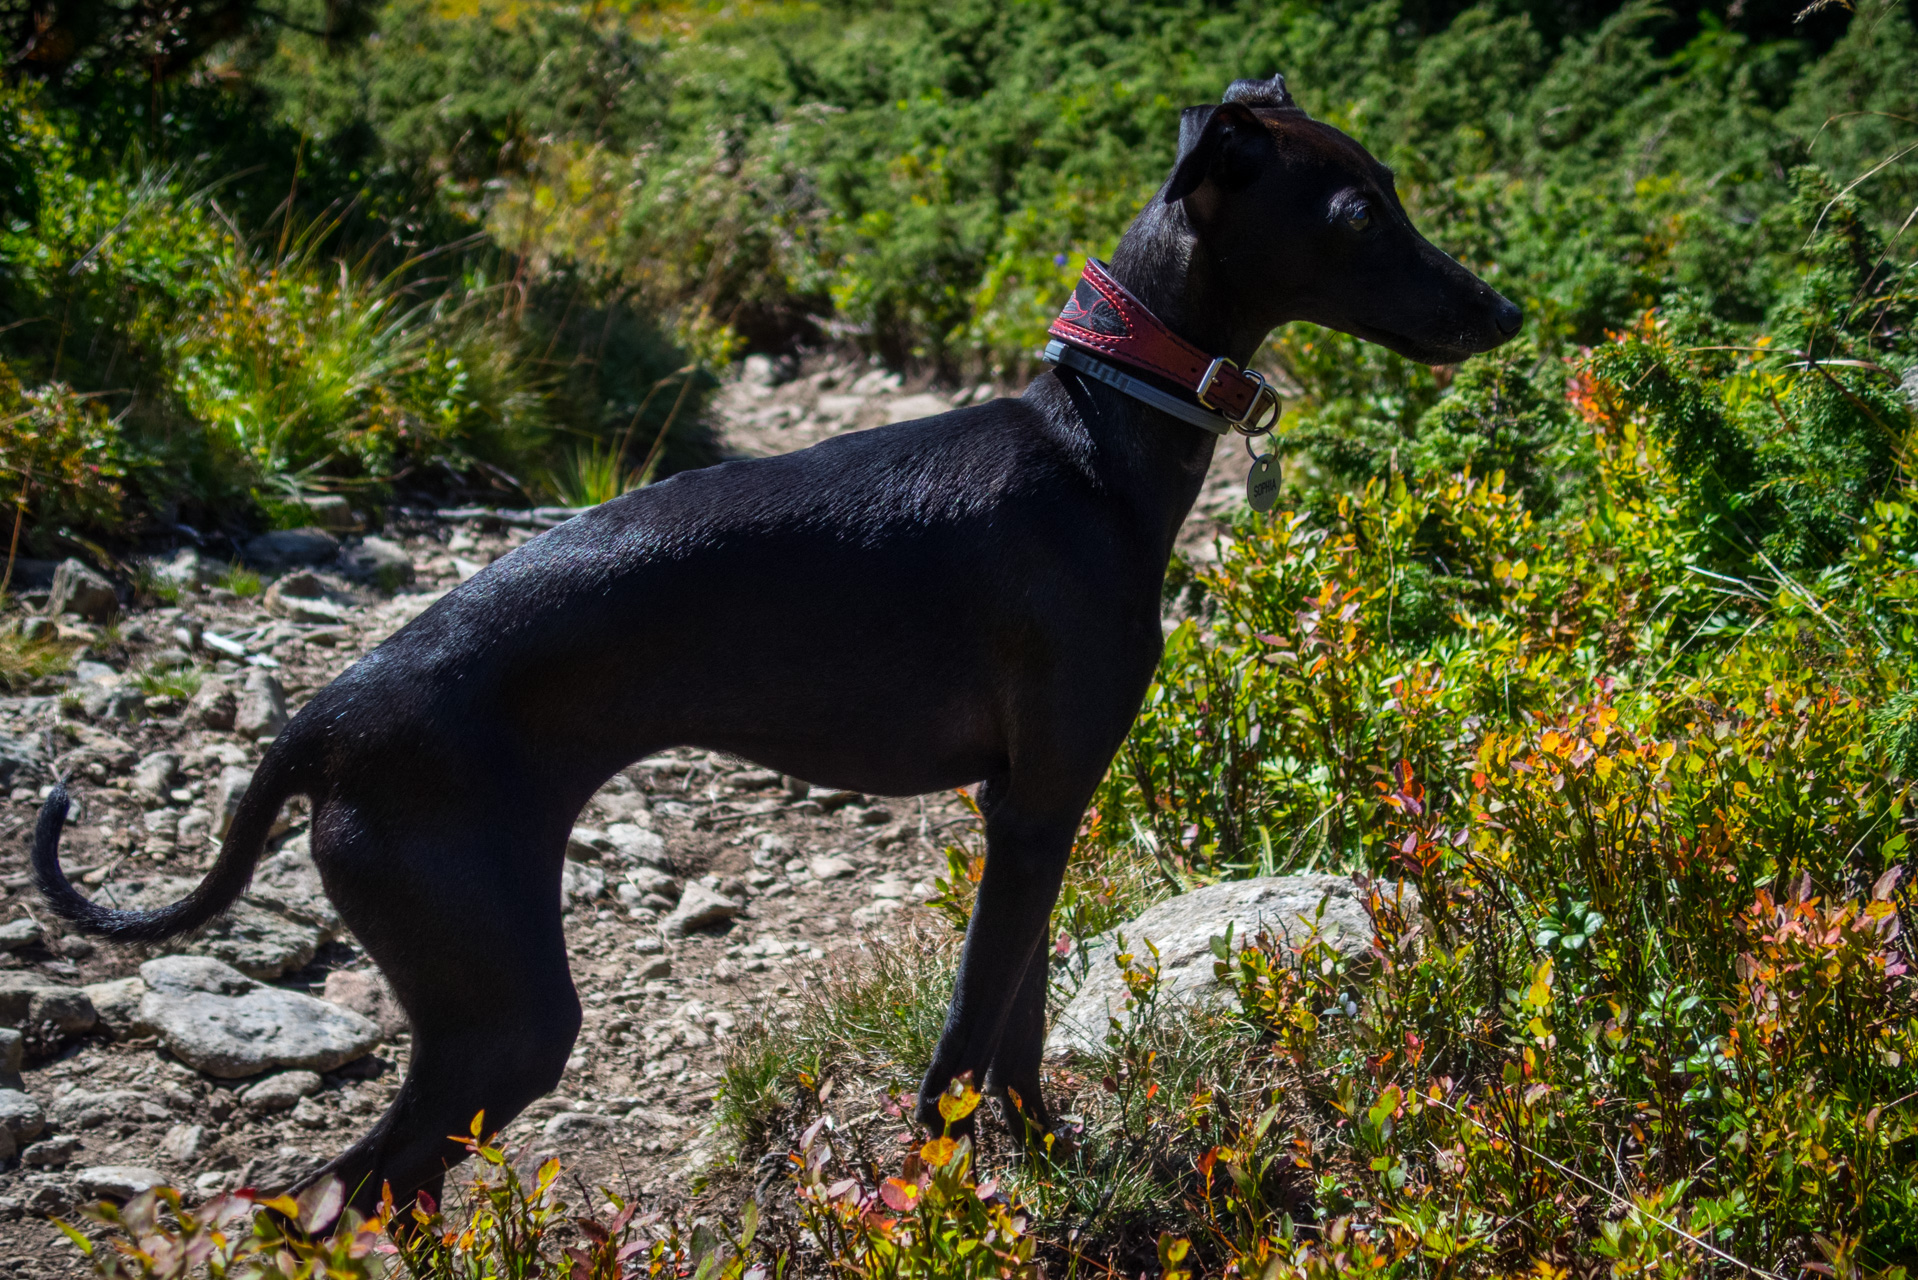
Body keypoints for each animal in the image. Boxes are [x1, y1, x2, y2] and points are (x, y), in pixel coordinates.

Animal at [33, 72, 1511, 1220]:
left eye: (1387, 188)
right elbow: (962, 1046)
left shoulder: (1033, 810)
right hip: (504, 1010)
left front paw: (1055, 1164)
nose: (1503, 315)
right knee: (354, 1186)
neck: (1096, 440)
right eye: (1357, 211)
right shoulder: (1034, 810)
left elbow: (1020, 1027)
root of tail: (323, 720)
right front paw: (936, 1205)